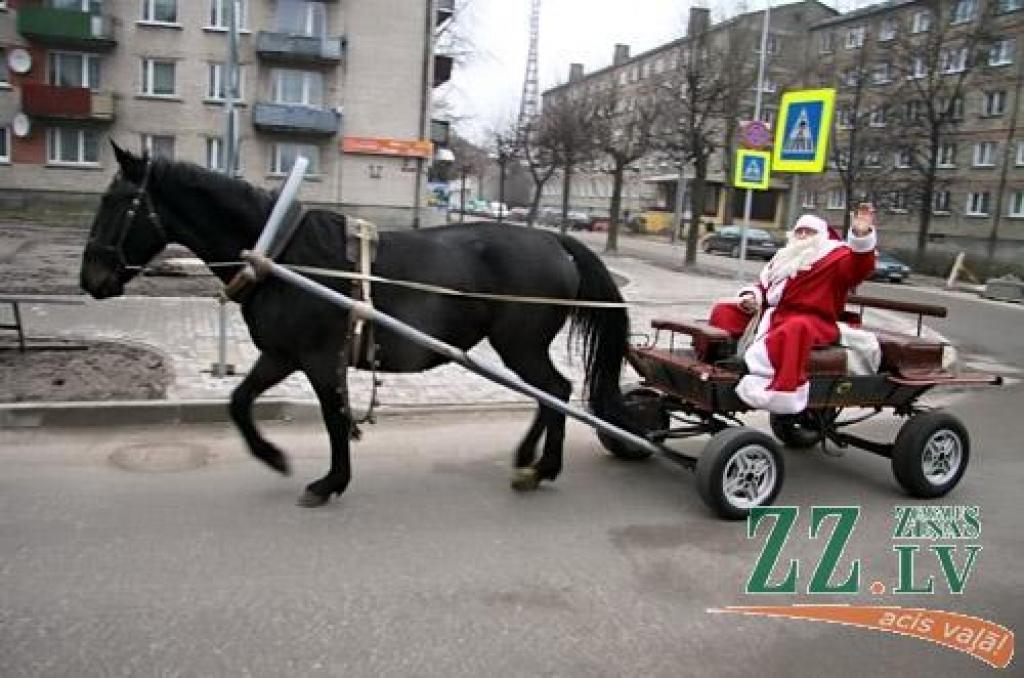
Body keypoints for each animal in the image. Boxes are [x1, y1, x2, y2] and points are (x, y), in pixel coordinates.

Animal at [81, 146, 630, 507]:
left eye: (116, 203)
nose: (90, 279)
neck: (283, 256)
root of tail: (555, 240)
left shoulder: (320, 359)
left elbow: (332, 416)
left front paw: (330, 482)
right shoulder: (281, 355)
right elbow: (239, 401)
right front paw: (272, 455)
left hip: (521, 344)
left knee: (555, 390)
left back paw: (543, 466)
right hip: (518, 347)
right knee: (549, 395)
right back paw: (528, 458)